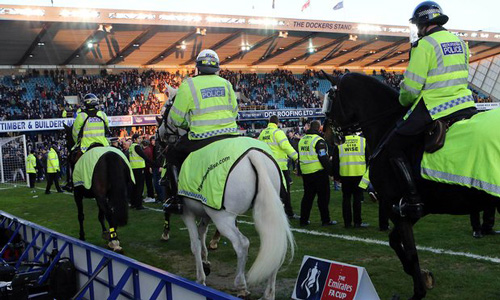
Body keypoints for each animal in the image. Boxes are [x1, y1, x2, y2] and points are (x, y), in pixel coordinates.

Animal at [63, 123, 131, 252]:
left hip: (99, 195)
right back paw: (113, 237)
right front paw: (105, 232)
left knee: (109, 213)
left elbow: (81, 215)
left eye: (66, 138)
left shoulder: (78, 194)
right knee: (112, 212)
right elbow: (100, 215)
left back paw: (114, 241)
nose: (68, 151)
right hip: (114, 193)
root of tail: (109, 155)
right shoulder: (100, 195)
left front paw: (82, 236)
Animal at [158, 93, 294, 298]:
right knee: (274, 244)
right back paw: (269, 292)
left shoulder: (188, 213)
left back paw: (241, 285)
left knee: (242, 244)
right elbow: (202, 233)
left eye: (167, 108)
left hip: (223, 217)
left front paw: (201, 277)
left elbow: (195, 243)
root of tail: (253, 154)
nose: (157, 134)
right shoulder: (206, 210)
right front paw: (206, 262)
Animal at [320, 72, 500, 300]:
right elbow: (394, 240)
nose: (325, 134)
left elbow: (410, 250)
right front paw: (423, 276)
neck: (386, 125)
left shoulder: (394, 206)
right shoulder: (411, 209)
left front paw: (418, 289)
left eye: (330, 99)